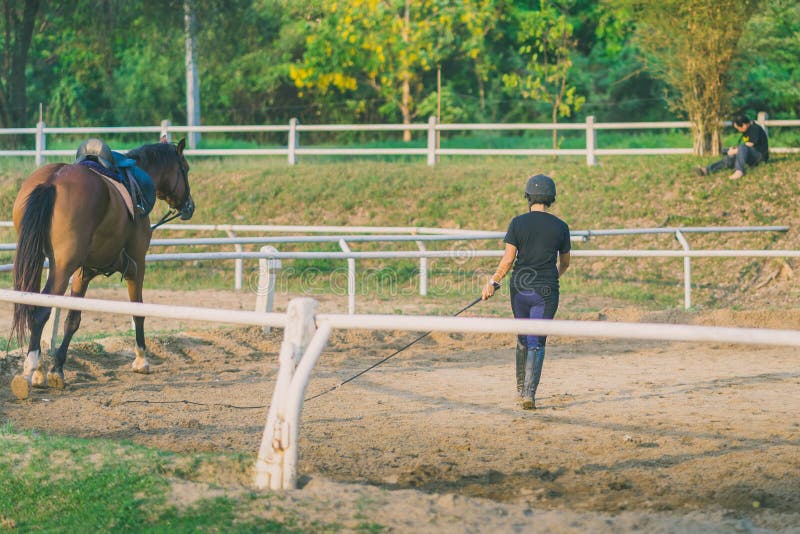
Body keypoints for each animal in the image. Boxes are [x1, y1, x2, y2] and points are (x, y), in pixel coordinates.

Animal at [10, 140, 194, 400]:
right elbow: (138, 310)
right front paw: (142, 360)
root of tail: (52, 181)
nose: (190, 206)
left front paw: (58, 370)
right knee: (40, 312)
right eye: (185, 169)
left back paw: (38, 371)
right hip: (62, 267)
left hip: (38, 260)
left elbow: (72, 320)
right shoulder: (137, 264)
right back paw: (29, 371)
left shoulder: (83, 272)